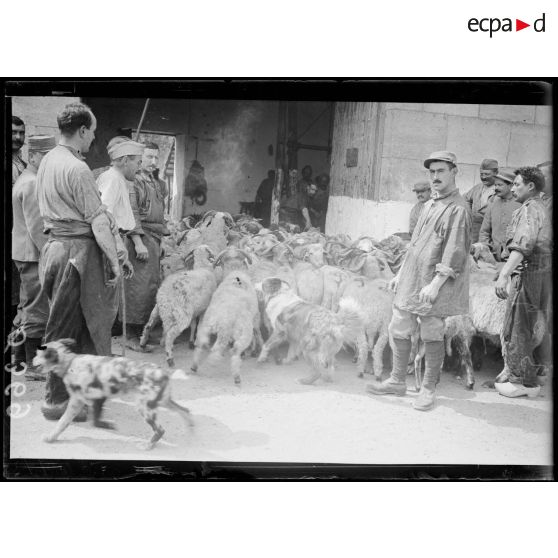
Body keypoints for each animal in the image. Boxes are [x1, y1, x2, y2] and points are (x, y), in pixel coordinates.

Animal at [33, 340, 195, 452]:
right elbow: (63, 423)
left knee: (160, 430)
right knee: (185, 411)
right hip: (162, 401)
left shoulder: (91, 399)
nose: (31, 360)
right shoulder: (82, 401)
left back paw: (148, 445)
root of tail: (164, 373)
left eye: (37, 354)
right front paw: (51, 437)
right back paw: (190, 431)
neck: (70, 363)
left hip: (145, 407)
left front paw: (108, 425)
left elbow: (92, 422)